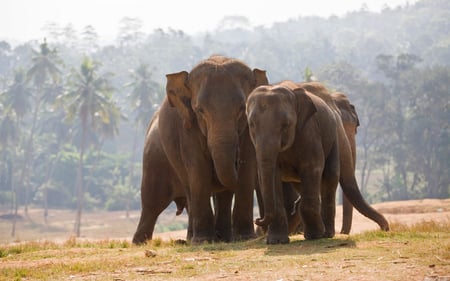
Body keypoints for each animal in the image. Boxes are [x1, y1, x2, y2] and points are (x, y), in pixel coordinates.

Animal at [132, 55, 268, 244]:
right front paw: (203, 241)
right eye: (200, 110)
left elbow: (246, 170)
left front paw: (244, 238)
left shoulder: (249, 129)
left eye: (242, 108)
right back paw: (142, 242)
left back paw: (220, 238)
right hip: (154, 161)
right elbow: (199, 169)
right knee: (153, 202)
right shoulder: (188, 128)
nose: (259, 220)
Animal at [246, 80, 390, 243]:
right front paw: (276, 241)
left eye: (286, 125)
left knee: (330, 177)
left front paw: (314, 236)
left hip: (332, 140)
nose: (257, 219)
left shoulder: (311, 131)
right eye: (251, 125)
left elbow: (312, 167)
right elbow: (272, 174)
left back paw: (325, 233)